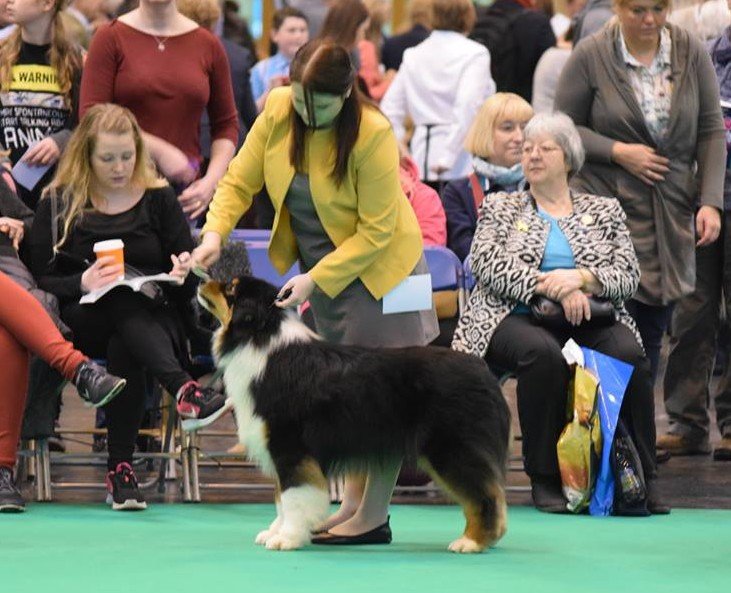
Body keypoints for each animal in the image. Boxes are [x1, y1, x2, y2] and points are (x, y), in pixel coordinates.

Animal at [197, 276, 512, 552]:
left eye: (230, 288)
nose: (200, 280)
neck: (258, 338)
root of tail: (483, 371)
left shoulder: (290, 447)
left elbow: (292, 497)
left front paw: (286, 538)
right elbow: (280, 497)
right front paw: (275, 532)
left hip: (452, 448)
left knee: (485, 495)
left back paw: (472, 542)